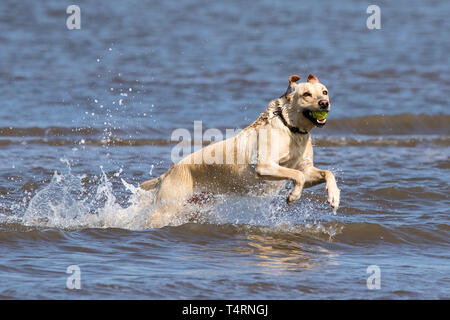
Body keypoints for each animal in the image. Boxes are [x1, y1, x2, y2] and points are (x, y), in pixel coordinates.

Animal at [142, 74, 340, 228]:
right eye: (307, 94)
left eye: (325, 92)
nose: (325, 103)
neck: (290, 128)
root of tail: (167, 173)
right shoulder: (266, 167)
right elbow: (297, 176)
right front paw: (293, 196)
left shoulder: (306, 170)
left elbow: (326, 173)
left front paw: (334, 197)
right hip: (166, 209)